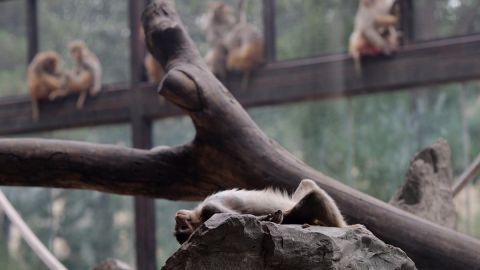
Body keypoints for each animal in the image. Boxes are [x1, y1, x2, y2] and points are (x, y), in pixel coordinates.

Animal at [174, 179, 346, 245]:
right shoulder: (210, 210)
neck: (199, 214)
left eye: (180, 224)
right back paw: (346, 227)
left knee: (307, 183)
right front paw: (271, 218)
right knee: (316, 197)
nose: (177, 216)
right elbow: (240, 219)